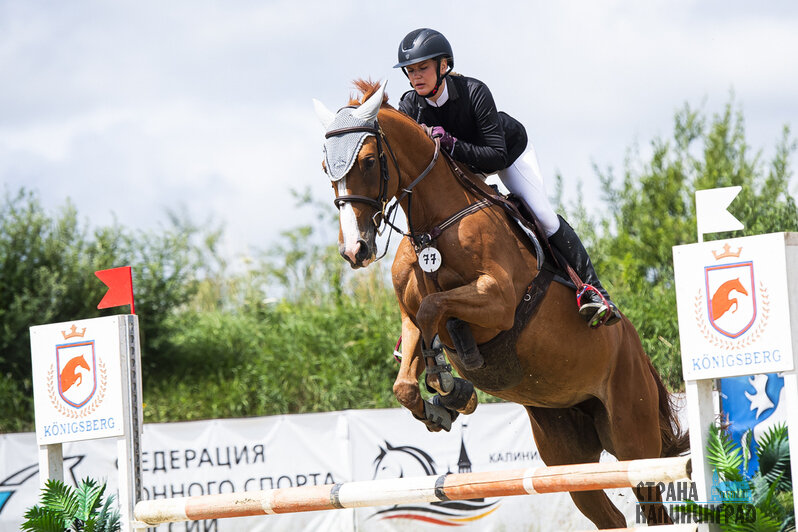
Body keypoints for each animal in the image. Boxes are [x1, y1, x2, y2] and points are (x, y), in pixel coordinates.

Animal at [313, 80, 690, 528]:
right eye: (326, 168)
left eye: (369, 161)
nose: (355, 250)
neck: (432, 228)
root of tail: (635, 348)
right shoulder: (409, 317)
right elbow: (406, 374)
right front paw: (444, 402)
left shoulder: (498, 301)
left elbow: (435, 309)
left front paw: (449, 384)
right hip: (566, 455)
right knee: (609, 517)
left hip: (634, 439)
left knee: (654, 504)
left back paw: (595, 304)